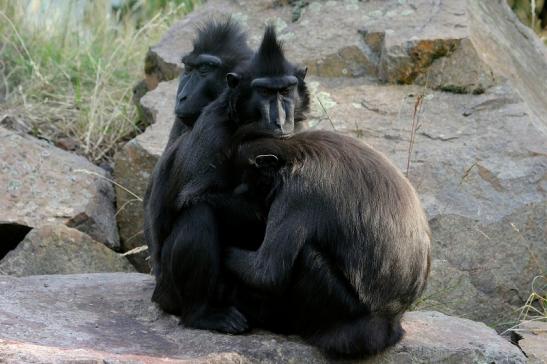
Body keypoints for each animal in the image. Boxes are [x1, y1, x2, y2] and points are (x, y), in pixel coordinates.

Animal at [143, 24, 310, 332]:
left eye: (285, 90)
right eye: (264, 92)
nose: (281, 119)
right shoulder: (212, 129)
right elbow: (189, 199)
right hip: (170, 291)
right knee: (199, 214)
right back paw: (201, 313)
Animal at [228, 129, 432, 356]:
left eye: (246, 180)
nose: (239, 191)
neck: (295, 156)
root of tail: (389, 319)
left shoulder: (297, 194)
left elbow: (265, 273)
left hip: (344, 307)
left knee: (308, 256)